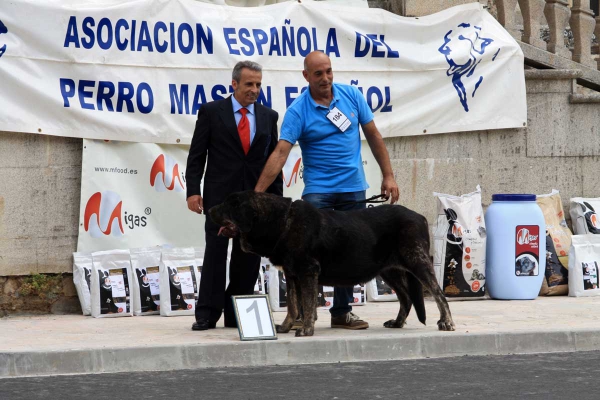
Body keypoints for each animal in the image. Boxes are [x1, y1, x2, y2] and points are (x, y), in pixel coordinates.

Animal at [211, 192, 454, 336]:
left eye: (228, 205)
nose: (209, 209)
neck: (281, 222)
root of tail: (420, 217)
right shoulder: (291, 274)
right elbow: (293, 306)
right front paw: (287, 327)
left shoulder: (307, 271)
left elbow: (307, 304)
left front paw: (306, 329)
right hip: (389, 271)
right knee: (406, 298)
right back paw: (397, 322)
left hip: (417, 261)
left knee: (438, 293)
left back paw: (446, 322)